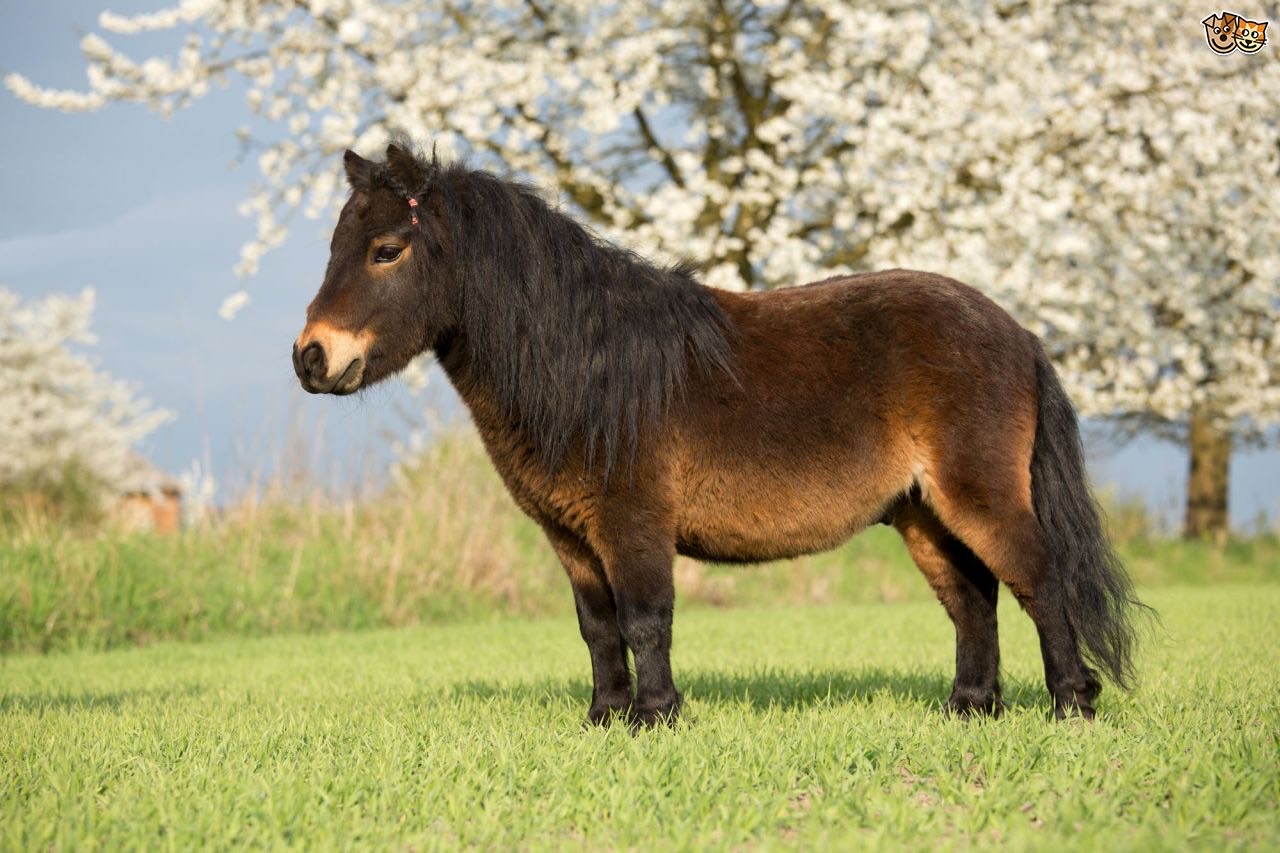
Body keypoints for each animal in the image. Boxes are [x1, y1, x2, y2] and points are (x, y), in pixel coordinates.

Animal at [294, 142, 1144, 726]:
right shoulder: (570, 534)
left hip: (979, 495)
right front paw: (605, 718)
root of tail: (1017, 332)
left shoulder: (633, 521)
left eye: (387, 250)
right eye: (334, 246)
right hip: (922, 511)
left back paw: (1072, 704)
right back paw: (969, 707)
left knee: (1040, 579)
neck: (587, 364)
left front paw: (657, 716)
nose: (311, 357)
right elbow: (598, 627)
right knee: (972, 600)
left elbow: (645, 617)